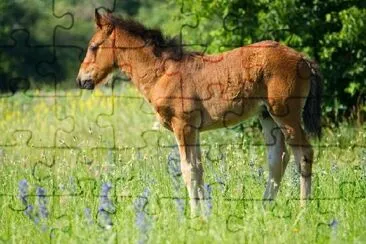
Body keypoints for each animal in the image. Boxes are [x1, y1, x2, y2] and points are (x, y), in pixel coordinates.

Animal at [76, 10, 322, 214]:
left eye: (93, 46)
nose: (81, 80)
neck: (162, 73)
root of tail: (303, 59)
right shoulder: (193, 129)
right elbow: (199, 169)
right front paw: (206, 214)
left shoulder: (182, 126)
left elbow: (189, 170)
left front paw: (194, 216)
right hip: (267, 116)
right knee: (278, 159)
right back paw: (263, 209)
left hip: (285, 114)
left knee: (304, 154)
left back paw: (303, 212)